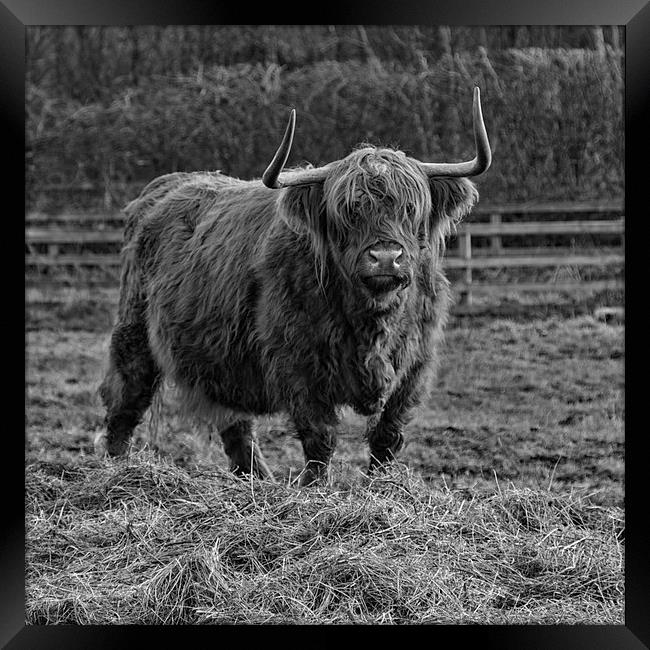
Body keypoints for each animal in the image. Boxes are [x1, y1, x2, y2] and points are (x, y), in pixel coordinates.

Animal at [96, 86, 492, 484]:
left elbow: (388, 436)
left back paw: (257, 480)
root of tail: (160, 188)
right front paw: (314, 487)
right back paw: (116, 471)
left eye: (411, 208)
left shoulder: (415, 366)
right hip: (134, 333)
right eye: (348, 211)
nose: (384, 257)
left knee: (235, 425)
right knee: (125, 399)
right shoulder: (298, 365)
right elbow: (320, 437)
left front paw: (383, 487)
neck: (373, 318)